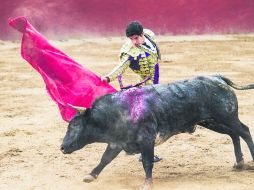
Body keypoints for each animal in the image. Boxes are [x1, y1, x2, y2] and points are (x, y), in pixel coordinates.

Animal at [60, 75, 254, 189]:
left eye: (75, 125)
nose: (62, 147)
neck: (118, 111)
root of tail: (217, 78)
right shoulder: (117, 142)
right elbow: (104, 159)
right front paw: (90, 176)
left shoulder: (146, 140)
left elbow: (147, 162)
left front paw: (147, 184)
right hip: (211, 121)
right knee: (233, 134)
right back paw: (239, 163)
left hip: (226, 116)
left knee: (244, 131)